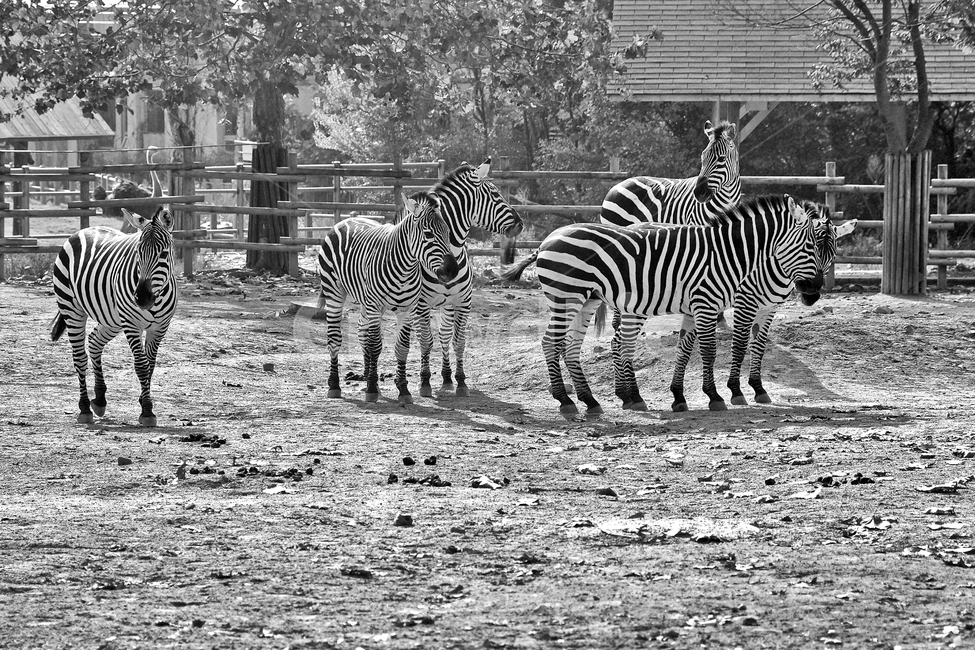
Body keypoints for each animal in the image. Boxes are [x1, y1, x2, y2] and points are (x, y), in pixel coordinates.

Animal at [50, 205, 177, 427]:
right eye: (138, 252)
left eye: (163, 253)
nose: (142, 298)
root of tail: (84, 229)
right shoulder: (131, 324)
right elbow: (141, 365)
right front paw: (147, 411)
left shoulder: (160, 327)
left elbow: (151, 366)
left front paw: (144, 400)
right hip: (71, 308)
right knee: (79, 357)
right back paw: (84, 408)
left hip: (111, 319)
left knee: (94, 342)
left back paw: (100, 399)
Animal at [318, 192, 460, 405]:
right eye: (428, 235)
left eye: (447, 234)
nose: (453, 271)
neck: (405, 268)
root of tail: (344, 221)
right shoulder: (375, 306)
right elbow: (375, 346)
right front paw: (371, 388)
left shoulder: (407, 310)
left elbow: (402, 348)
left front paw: (403, 389)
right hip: (334, 292)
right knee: (335, 338)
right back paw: (334, 385)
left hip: (365, 301)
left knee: (362, 333)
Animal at [411, 159, 523, 398]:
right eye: (495, 194)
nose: (521, 224)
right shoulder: (422, 304)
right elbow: (425, 341)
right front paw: (424, 381)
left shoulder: (463, 302)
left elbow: (458, 342)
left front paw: (460, 381)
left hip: (447, 305)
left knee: (444, 336)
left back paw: (446, 378)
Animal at [501, 195, 823, 415]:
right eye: (810, 246)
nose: (815, 292)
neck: (727, 254)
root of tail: (546, 241)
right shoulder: (706, 303)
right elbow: (710, 350)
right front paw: (716, 396)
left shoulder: (699, 306)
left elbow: (687, 349)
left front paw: (684, 397)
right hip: (567, 296)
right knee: (549, 342)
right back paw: (565, 401)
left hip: (587, 300)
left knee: (570, 346)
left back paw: (590, 401)